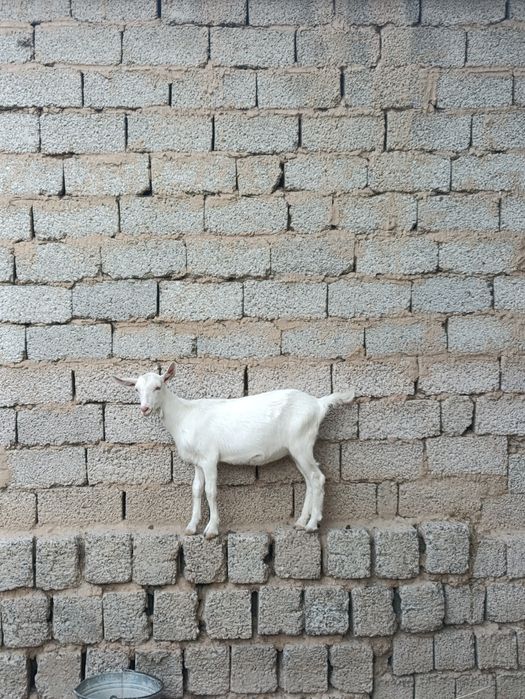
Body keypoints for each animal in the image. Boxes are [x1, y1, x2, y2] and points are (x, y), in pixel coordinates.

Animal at [114, 363, 354, 538]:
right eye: (136, 389)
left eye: (158, 387)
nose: (144, 409)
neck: (184, 415)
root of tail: (318, 404)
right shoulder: (198, 461)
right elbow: (196, 490)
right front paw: (191, 527)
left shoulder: (210, 458)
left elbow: (210, 491)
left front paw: (211, 530)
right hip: (296, 449)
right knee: (309, 480)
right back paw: (301, 522)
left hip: (301, 443)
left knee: (317, 478)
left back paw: (312, 524)